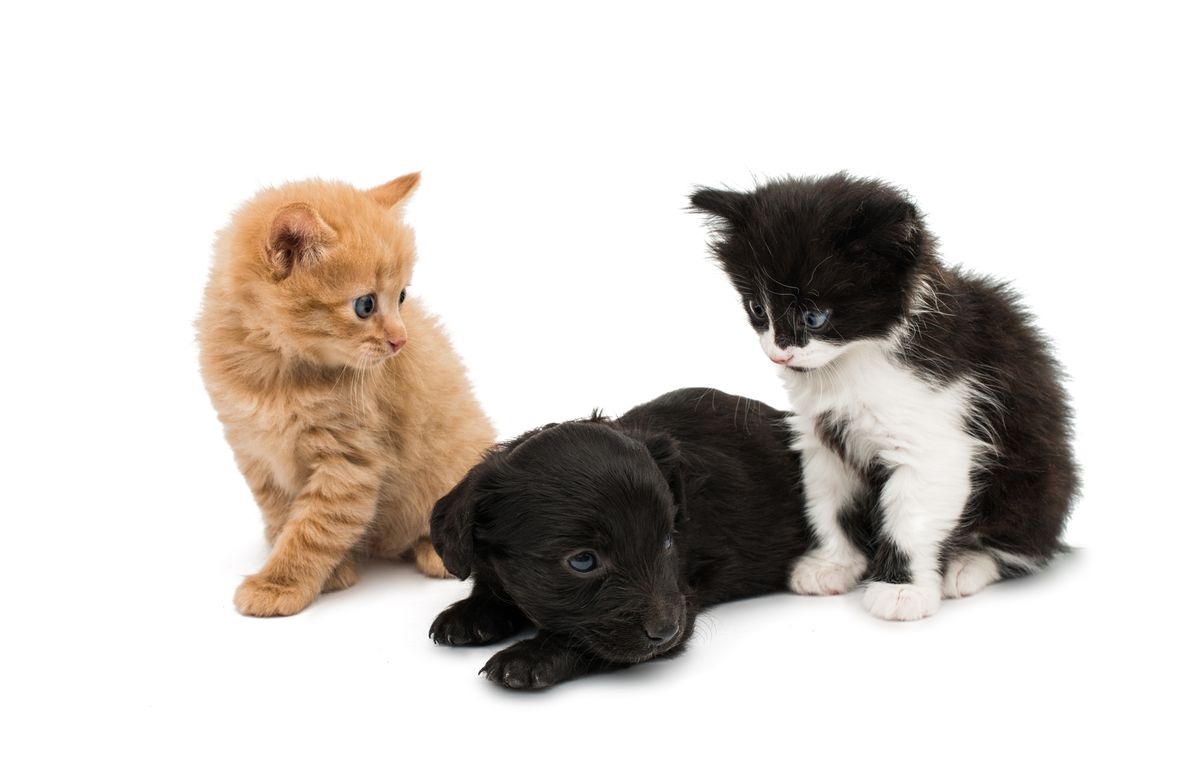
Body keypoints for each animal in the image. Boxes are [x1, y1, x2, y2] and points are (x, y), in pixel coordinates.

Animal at [199, 174, 494, 619]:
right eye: (365, 304)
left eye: (401, 297)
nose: (400, 341)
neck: (276, 371)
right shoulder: (255, 451)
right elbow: (285, 516)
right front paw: (313, 566)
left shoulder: (349, 462)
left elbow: (314, 529)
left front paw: (279, 583)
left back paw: (437, 554)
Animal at [427, 388, 811, 691]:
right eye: (583, 560)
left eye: (667, 542)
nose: (665, 631)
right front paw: (470, 614)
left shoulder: (683, 601)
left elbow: (587, 641)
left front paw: (530, 656)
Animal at [696, 172, 1080, 619]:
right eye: (758, 309)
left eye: (815, 317)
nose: (780, 352)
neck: (851, 363)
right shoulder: (821, 440)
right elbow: (828, 502)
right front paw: (833, 564)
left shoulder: (935, 441)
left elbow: (909, 520)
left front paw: (901, 590)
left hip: (1035, 482)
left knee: (1025, 545)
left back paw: (967, 565)